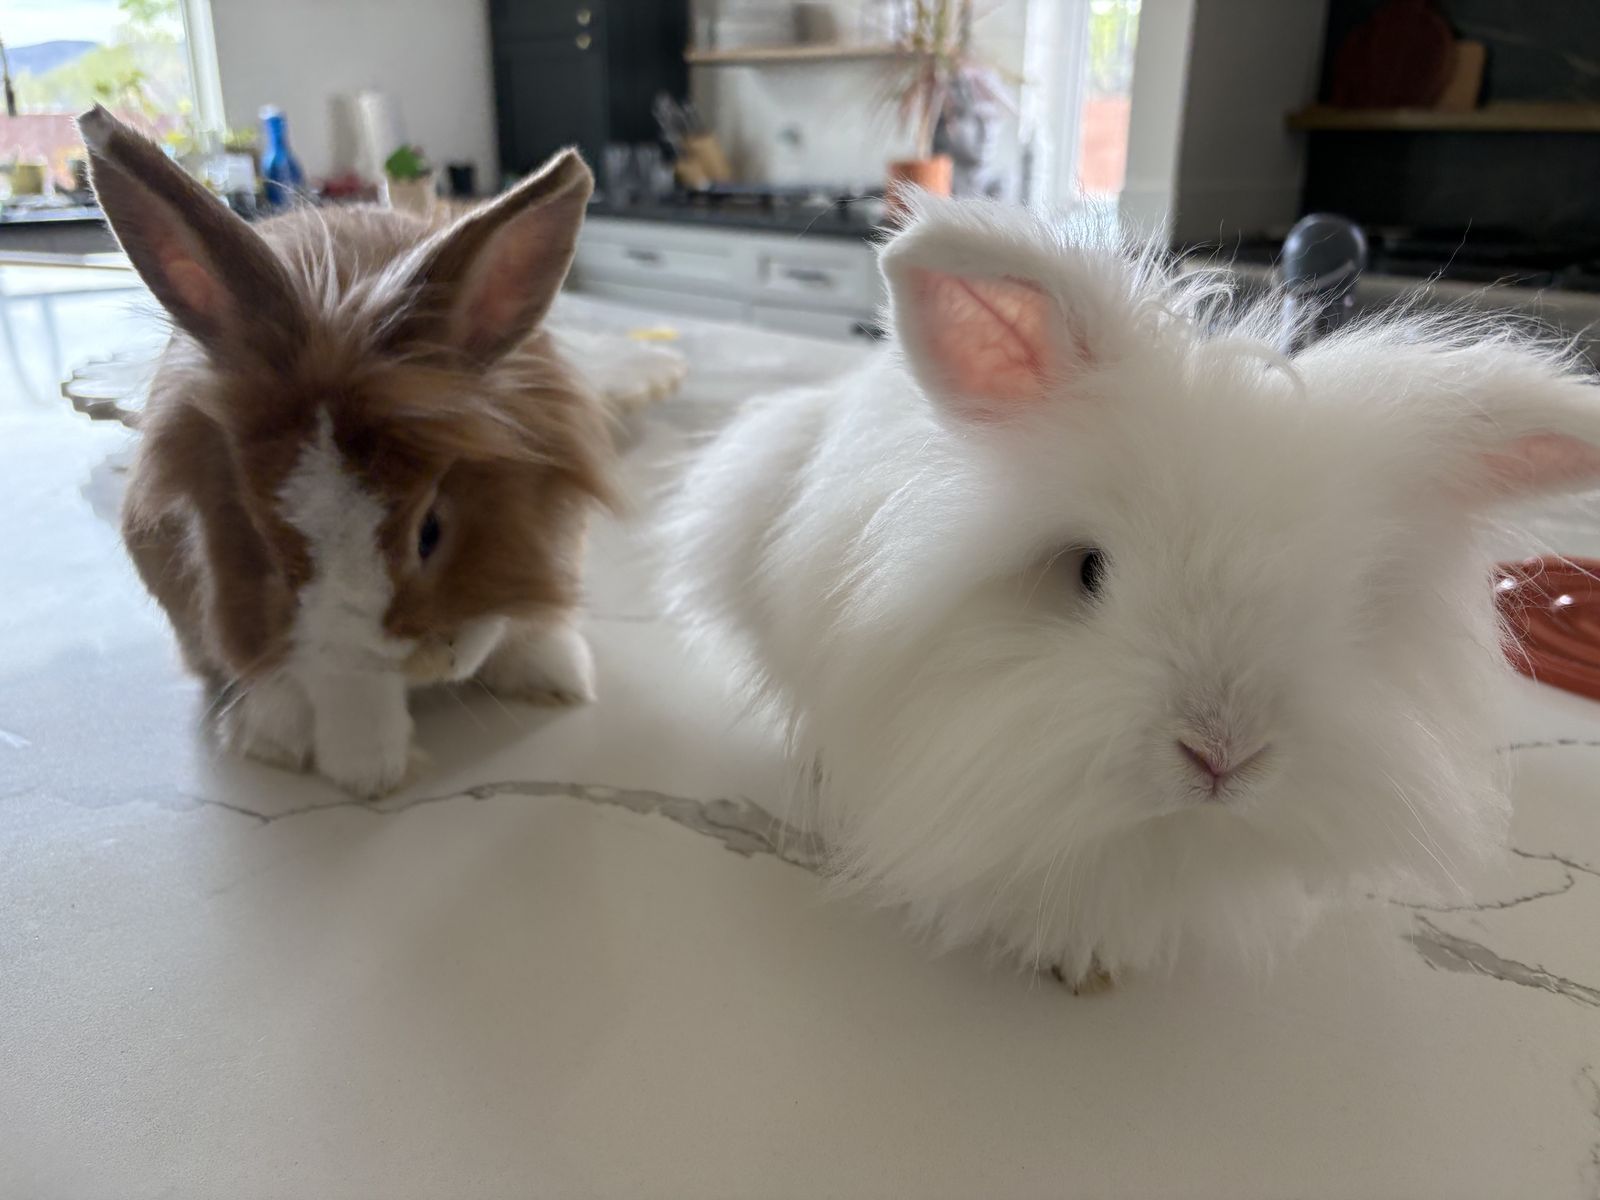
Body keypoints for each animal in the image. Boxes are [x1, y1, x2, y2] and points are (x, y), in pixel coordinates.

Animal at [80, 106, 614, 798]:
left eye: (431, 531)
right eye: (269, 542)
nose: (426, 657)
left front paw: (558, 680)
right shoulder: (313, 640)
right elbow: (348, 688)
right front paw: (370, 773)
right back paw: (274, 737)